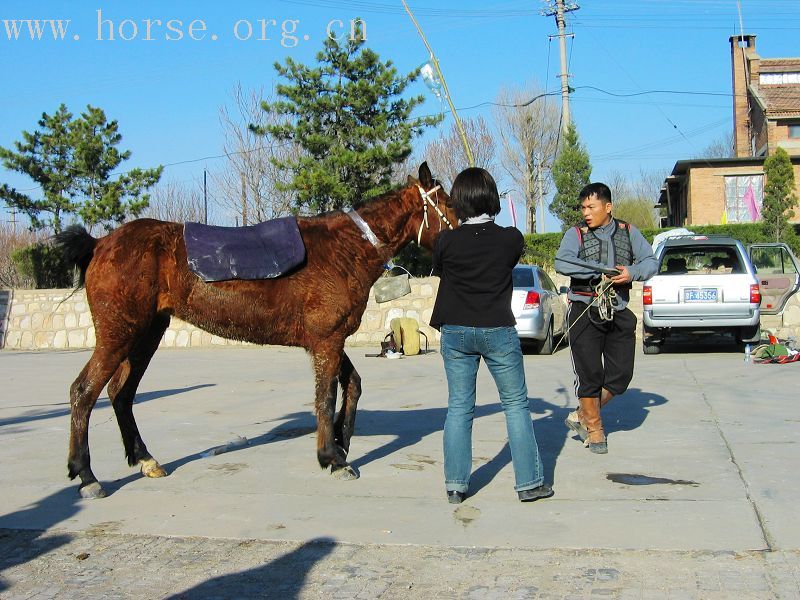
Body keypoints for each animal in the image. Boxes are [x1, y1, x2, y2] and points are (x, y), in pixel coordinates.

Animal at [54, 162, 456, 500]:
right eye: (447, 204)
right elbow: (325, 398)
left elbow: (353, 384)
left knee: (120, 393)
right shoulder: (326, 341)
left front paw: (342, 441)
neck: (346, 249)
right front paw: (332, 456)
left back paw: (145, 459)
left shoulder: (327, 339)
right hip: (118, 335)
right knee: (83, 392)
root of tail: (100, 244)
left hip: (145, 335)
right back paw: (86, 475)